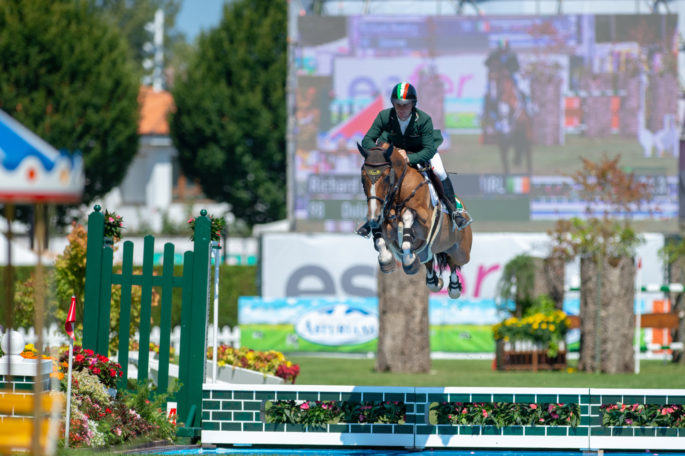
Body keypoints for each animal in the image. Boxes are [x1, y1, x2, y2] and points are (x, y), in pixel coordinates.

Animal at [356, 142, 472, 300]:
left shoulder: (425, 220)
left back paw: (454, 287)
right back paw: (435, 281)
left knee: (454, 262)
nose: (373, 217)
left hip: (461, 251)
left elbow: (408, 216)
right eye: (363, 178)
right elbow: (380, 239)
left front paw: (408, 260)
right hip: (426, 252)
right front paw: (387, 260)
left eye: (386, 177)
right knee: (430, 262)